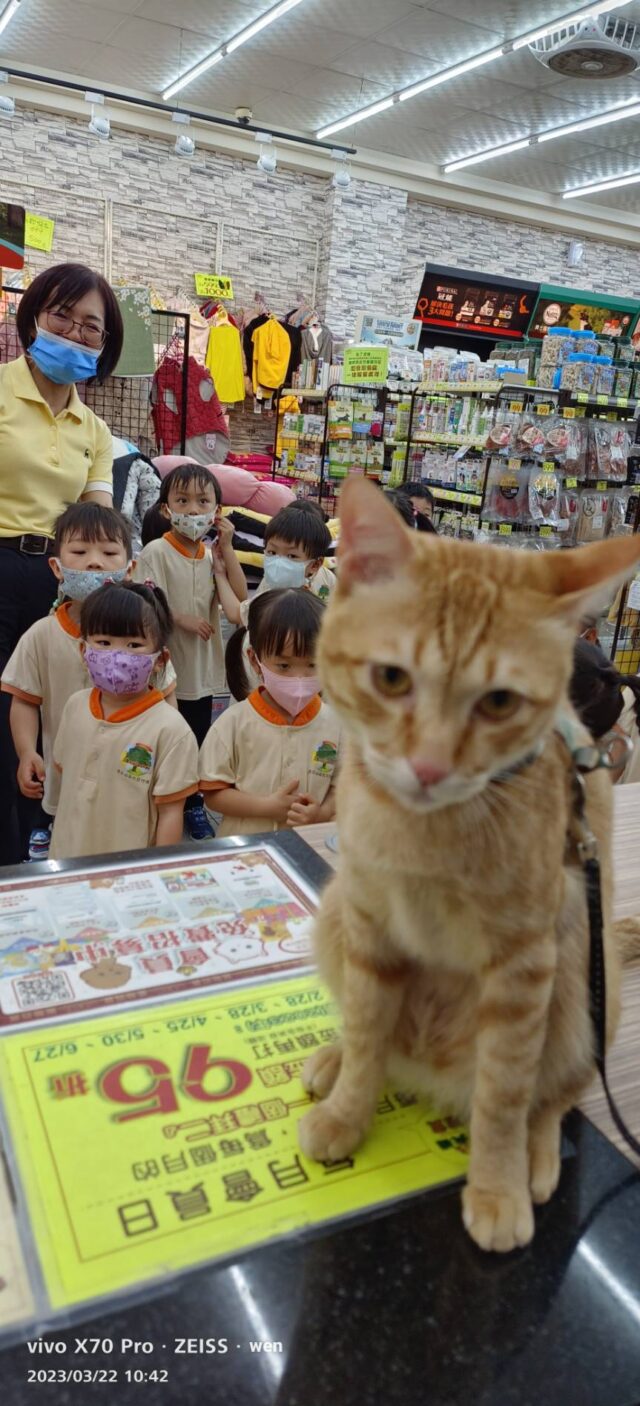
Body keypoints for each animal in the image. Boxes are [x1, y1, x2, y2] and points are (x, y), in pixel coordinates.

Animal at [298, 480, 640, 1254]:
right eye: (392, 678)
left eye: (500, 701)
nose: (428, 767)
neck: (424, 829)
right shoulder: (367, 922)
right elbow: (367, 1029)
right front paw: (348, 1110)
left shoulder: (522, 965)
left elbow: (505, 1092)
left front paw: (496, 1185)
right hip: (332, 915)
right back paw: (334, 1061)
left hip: (585, 984)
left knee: (556, 1095)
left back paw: (536, 1158)